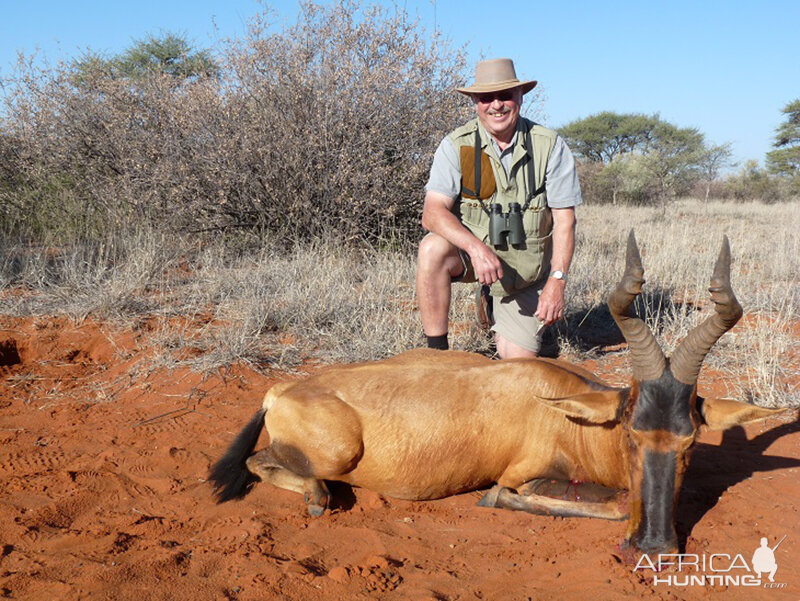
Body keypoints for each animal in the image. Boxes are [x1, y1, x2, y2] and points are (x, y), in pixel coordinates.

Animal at [209, 231, 792, 552]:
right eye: (631, 433)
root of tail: (281, 390)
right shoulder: (525, 474)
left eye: (690, 440)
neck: (566, 411)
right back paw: (316, 497)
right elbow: (594, 502)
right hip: (335, 451)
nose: (653, 547)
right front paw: (497, 499)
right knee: (264, 462)